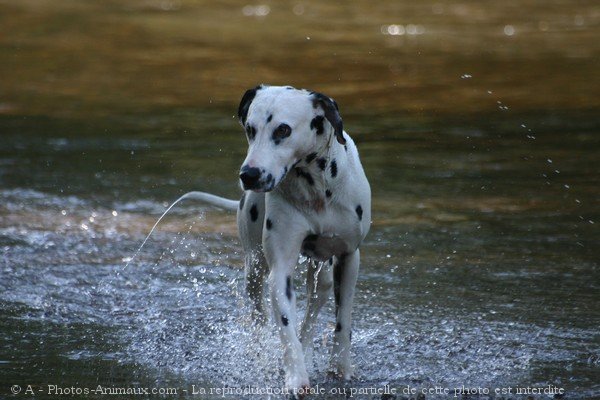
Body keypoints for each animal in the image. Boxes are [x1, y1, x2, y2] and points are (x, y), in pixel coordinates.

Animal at [192, 85, 370, 394]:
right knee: (259, 315)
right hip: (254, 268)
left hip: (323, 278)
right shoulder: (280, 272)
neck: (316, 190)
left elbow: (343, 321)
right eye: (250, 129)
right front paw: (296, 376)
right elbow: (286, 327)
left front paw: (340, 367)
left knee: (312, 312)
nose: (249, 174)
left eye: (283, 130)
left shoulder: (348, 259)